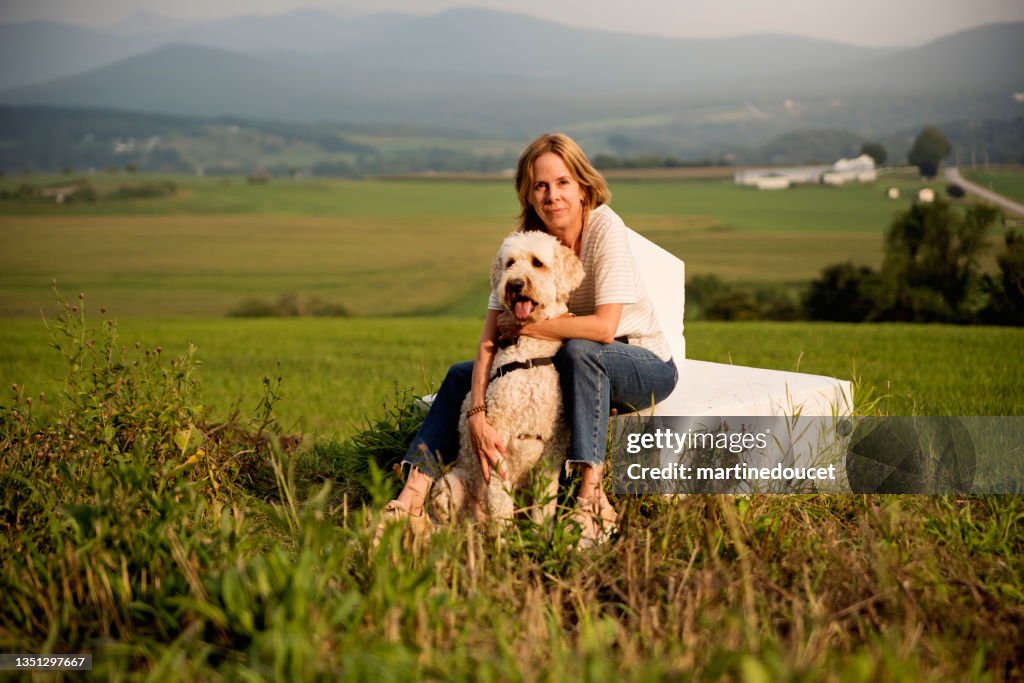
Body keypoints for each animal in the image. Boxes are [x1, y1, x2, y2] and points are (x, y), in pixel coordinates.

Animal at [425, 232, 585, 528]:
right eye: (510, 263)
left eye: (537, 262)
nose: (515, 284)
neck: (529, 355)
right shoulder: (496, 442)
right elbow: (500, 504)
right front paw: (504, 539)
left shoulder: (552, 450)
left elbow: (544, 506)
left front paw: (540, 535)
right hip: (448, 486)